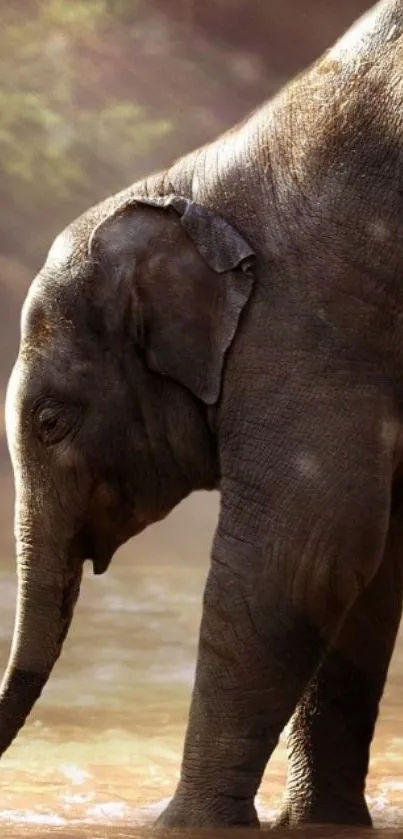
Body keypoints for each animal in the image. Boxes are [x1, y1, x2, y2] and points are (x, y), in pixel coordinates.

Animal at [0, 0, 403, 832]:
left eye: (51, 421)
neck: (188, 184)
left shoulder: (308, 323)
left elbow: (305, 549)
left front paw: (178, 825)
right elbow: (366, 564)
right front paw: (315, 824)